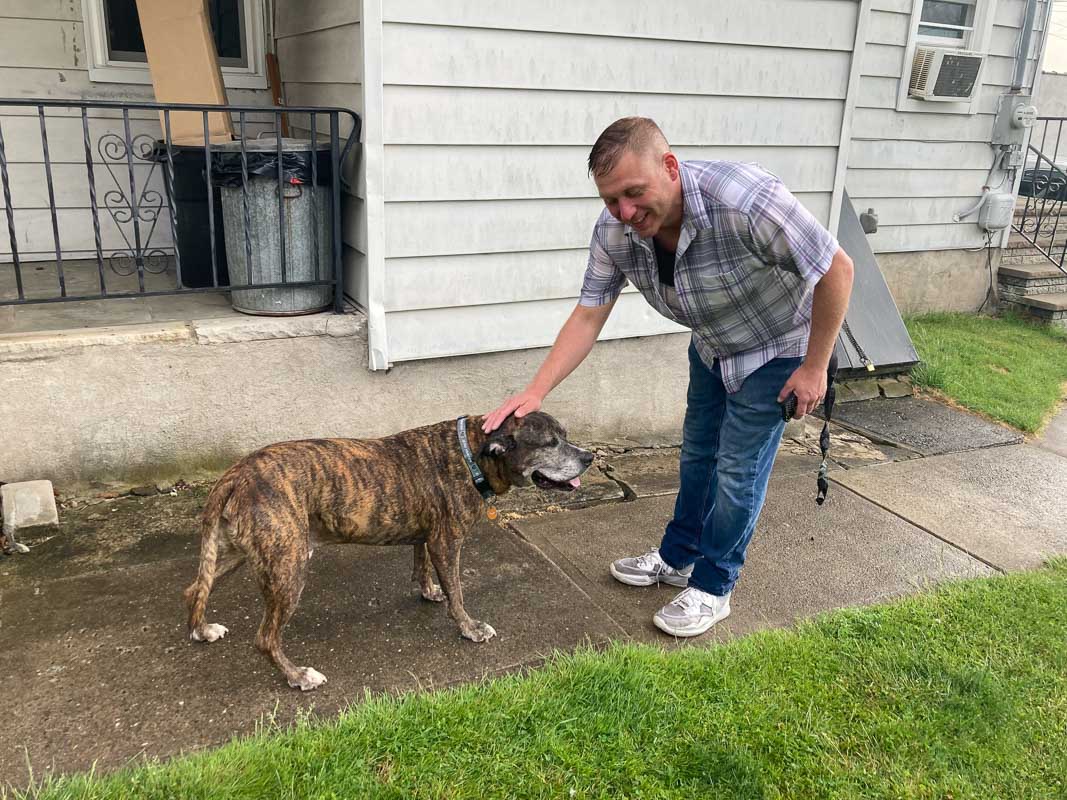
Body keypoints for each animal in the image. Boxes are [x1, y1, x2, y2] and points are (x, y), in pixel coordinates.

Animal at [186, 413, 597, 691]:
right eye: (550, 443)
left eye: (565, 437)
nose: (589, 457)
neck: (471, 454)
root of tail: (234, 475)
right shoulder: (447, 542)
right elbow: (458, 593)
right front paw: (469, 628)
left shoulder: (428, 538)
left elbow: (422, 565)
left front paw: (429, 591)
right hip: (287, 566)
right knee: (265, 638)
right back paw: (298, 675)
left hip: (239, 552)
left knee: (195, 588)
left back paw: (202, 630)